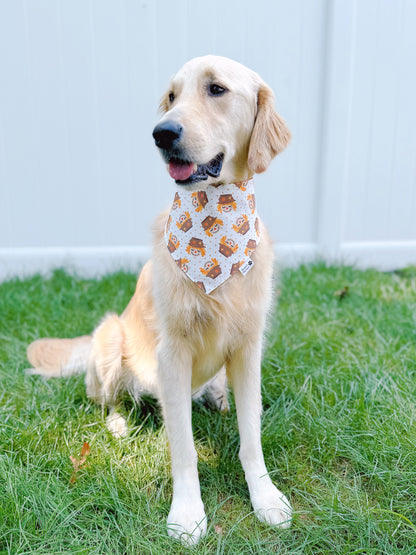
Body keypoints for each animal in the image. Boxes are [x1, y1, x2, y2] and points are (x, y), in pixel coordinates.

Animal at [26, 55, 292, 544]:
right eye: (171, 97)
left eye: (216, 89)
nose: (161, 133)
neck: (215, 219)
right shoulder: (173, 353)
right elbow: (183, 449)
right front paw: (187, 513)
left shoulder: (248, 347)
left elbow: (252, 438)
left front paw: (265, 497)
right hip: (111, 337)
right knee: (108, 400)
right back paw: (118, 423)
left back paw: (217, 398)